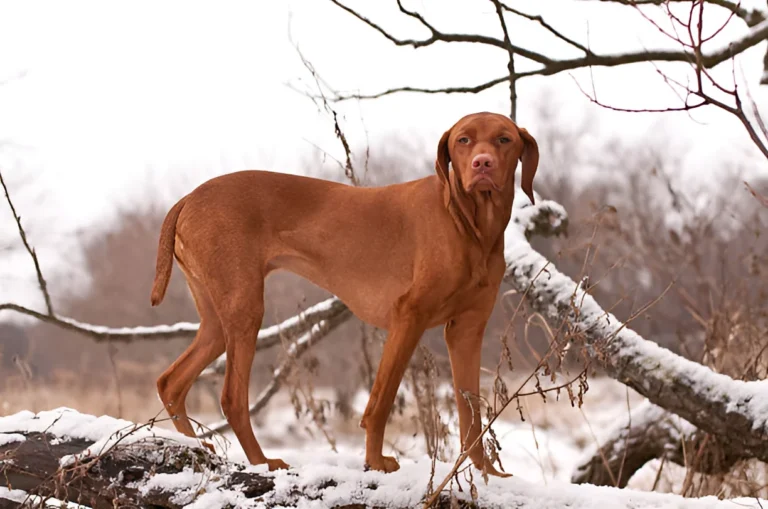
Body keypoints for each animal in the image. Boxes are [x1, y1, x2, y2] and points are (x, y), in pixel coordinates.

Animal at [152, 111, 540, 476]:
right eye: (463, 140)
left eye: (504, 139)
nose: (482, 164)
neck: (469, 225)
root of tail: (188, 198)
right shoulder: (408, 317)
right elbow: (380, 404)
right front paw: (375, 462)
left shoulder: (466, 330)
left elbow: (470, 412)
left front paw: (487, 473)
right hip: (245, 309)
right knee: (231, 397)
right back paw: (262, 462)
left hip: (218, 323)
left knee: (171, 382)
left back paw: (195, 446)